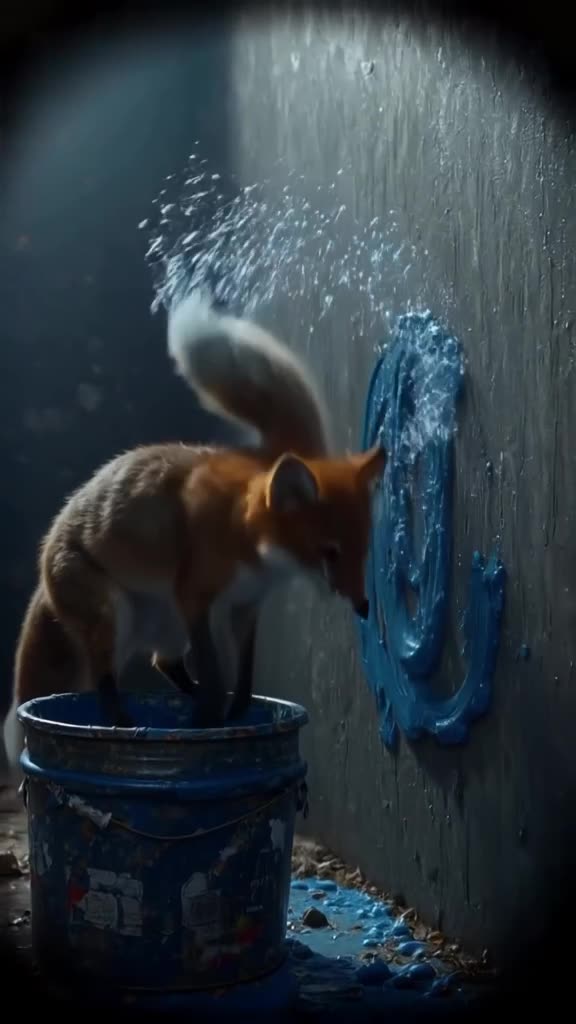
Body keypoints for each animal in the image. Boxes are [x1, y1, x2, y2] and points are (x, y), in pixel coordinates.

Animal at [1, 290, 385, 786]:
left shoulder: (245, 606)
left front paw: (236, 714)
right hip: (117, 614)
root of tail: (44, 567)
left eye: (362, 551)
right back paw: (122, 723)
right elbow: (216, 672)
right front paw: (212, 717)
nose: (364, 606)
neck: (248, 539)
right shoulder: (194, 596)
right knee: (105, 680)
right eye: (330, 551)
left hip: (163, 626)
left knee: (162, 664)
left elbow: (243, 677)